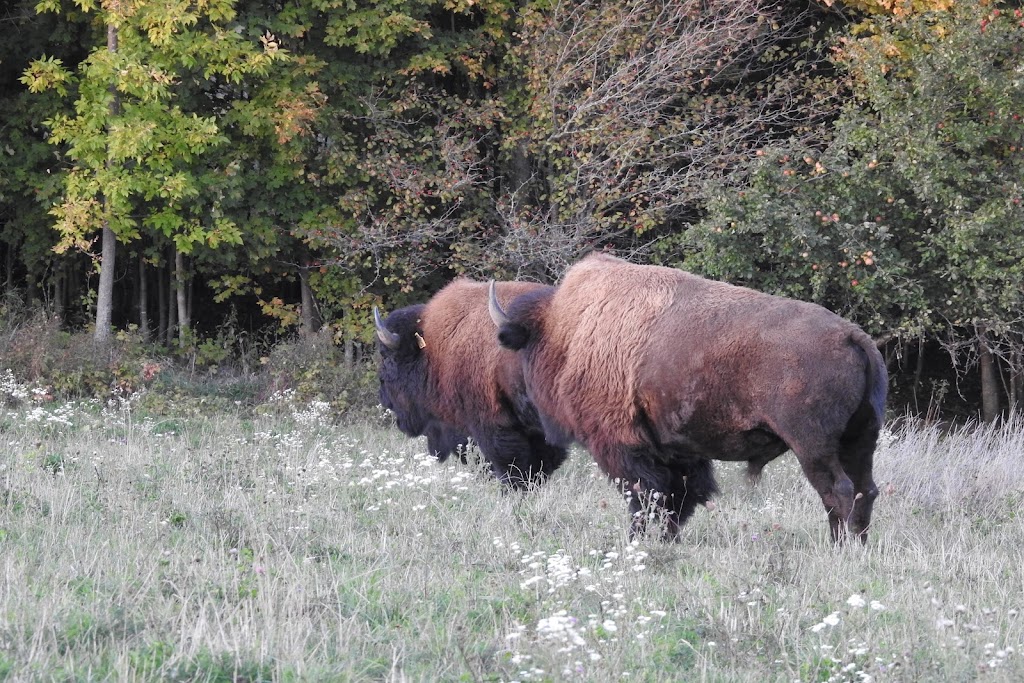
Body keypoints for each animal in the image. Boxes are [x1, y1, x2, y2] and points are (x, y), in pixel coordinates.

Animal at [487, 252, 888, 544]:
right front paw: (667, 540)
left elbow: (644, 496)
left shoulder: (621, 446)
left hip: (812, 446)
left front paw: (638, 542)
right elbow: (677, 497)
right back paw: (859, 546)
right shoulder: (678, 451)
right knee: (865, 490)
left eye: (524, 349)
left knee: (838, 491)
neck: (567, 332)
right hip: (860, 440)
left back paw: (839, 548)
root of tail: (852, 335)